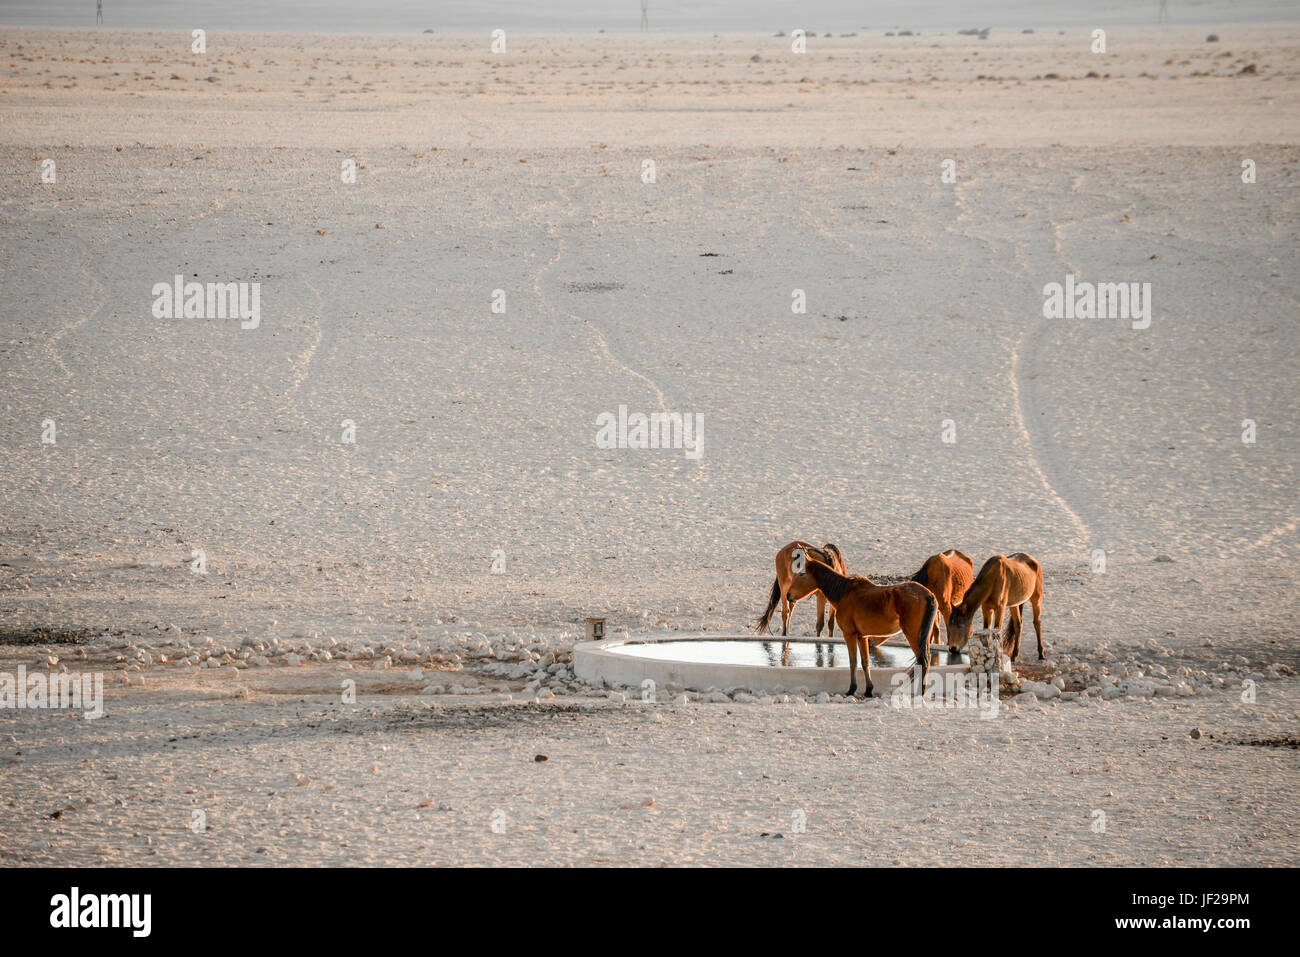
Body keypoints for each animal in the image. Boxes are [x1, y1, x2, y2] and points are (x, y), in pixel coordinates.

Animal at [800, 556, 935, 696]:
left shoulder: (849, 634)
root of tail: (928, 595)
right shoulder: (862, 637)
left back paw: (921, 692)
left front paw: (852, 689)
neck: (844, 593)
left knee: (923, 661)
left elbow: (853, 662)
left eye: (801, 574)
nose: (791, 596)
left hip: (913, 635)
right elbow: (865, 662)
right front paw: (868, 690)